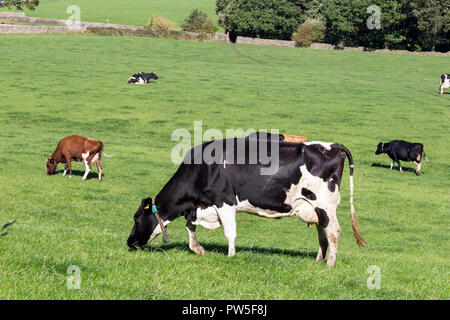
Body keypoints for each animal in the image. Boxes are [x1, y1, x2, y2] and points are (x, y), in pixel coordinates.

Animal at [126, 132, 366, 268]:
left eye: (136, 217)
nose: (129, 242)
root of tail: (332, 146)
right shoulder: (201, 207)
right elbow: (189, 226)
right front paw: (198, 248)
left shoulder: (224, 202)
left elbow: (229, 233)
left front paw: (231, 257)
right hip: (314, 207)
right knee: (322, 232)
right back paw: (319, 260)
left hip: (325, 204)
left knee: (333, 232)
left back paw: (330, 264)